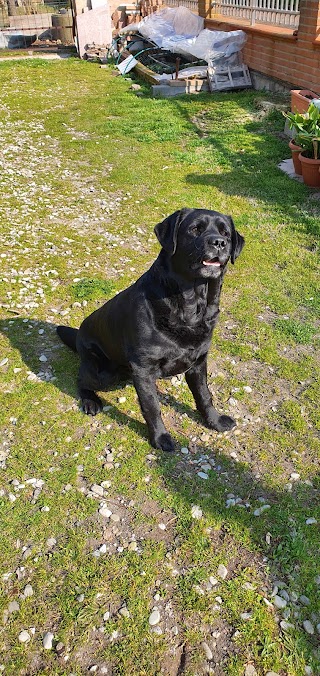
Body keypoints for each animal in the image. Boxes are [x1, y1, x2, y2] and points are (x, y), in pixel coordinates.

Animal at [57, 209, 244, 452]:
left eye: (226, 233)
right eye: (195, 229)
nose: (219, 242)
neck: (190, 306)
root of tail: (79, 332)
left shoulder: (198, 362)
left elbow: (204, 395)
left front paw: (215, 421)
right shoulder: (144, 369)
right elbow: (152, 407)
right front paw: (160, 438)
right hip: (102, 372)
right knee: (81, 380)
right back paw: (90, 401)